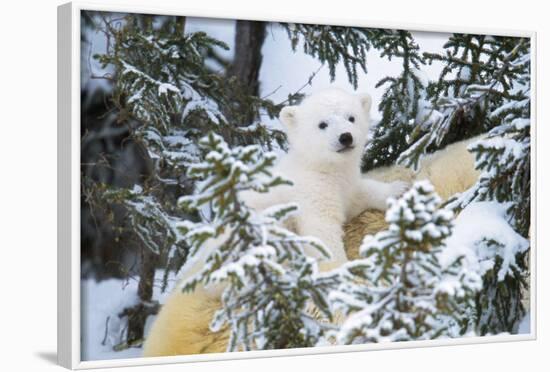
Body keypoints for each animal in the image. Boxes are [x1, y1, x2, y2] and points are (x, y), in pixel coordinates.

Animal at [143, 88, 484, 356]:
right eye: (322, 124)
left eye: (351, 118)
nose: (345, 137)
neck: (322, 169)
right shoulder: (310, 195)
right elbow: (322, 234)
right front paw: (341, 274)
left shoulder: (347, 186)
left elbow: (362, 194)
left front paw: (398, 192)